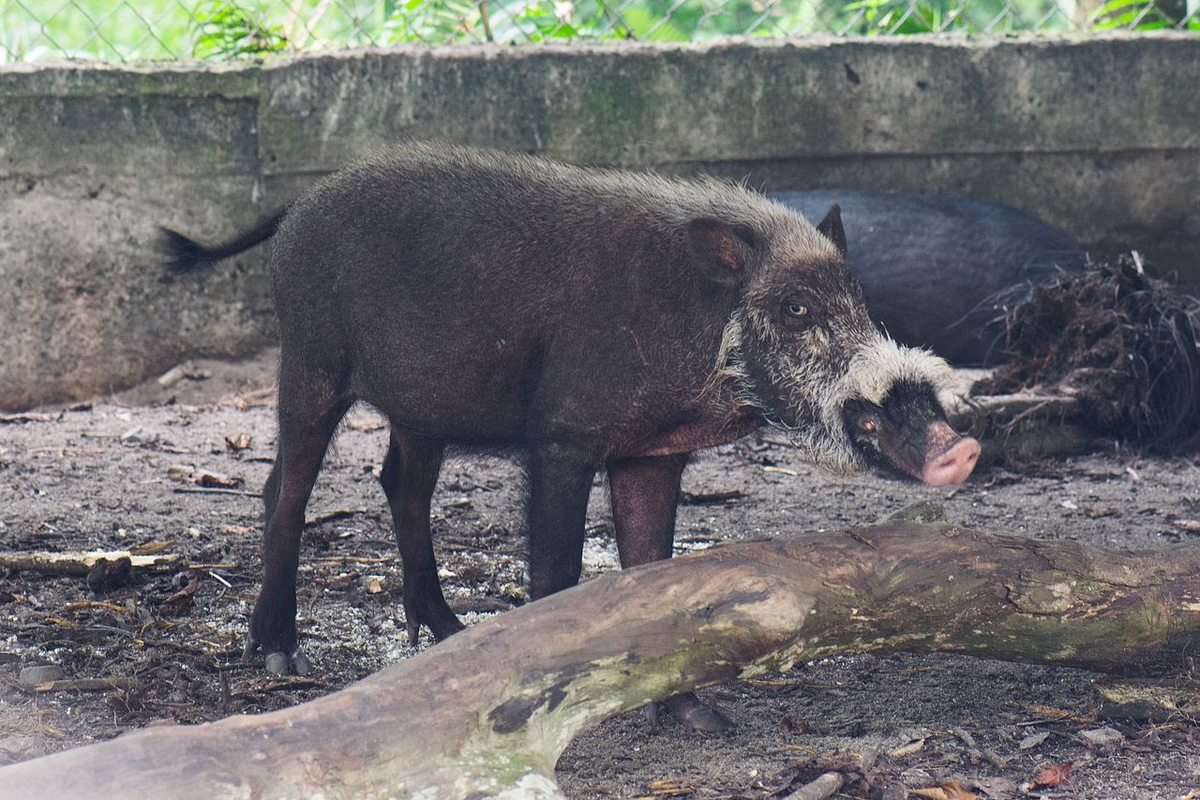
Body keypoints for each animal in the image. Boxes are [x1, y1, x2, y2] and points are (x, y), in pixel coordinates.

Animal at [159, 142, 974, 734]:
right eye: (798, 309)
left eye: (860, 302)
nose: (961, 449)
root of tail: (302, 203)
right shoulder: (563, 439)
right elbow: (558, 573)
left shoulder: (653, 453)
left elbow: (654, 570)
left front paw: (701, 721)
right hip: (309, 361)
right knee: (284, 489)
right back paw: (278, 656)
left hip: (421, 407)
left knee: (401, 485)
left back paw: (448, 632)